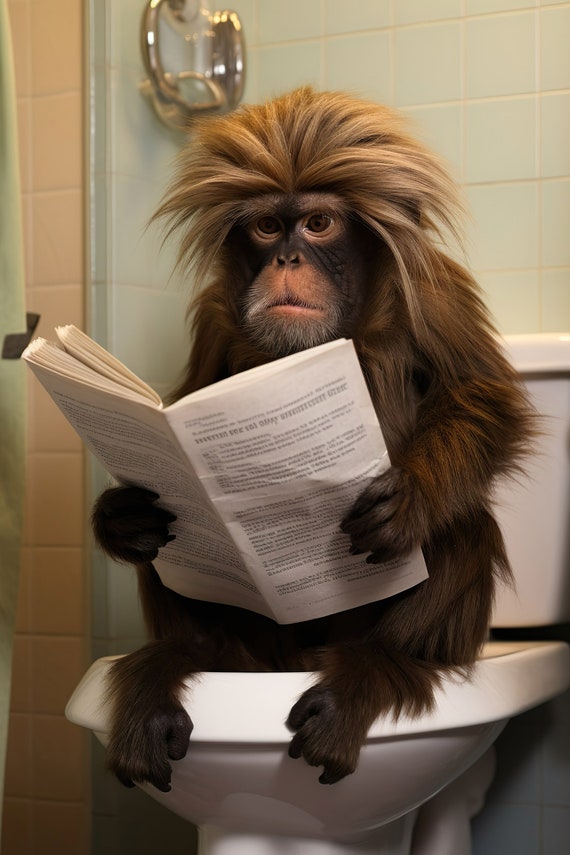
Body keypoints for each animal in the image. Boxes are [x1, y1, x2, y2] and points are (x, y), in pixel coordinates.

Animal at [92, 87, 536, 791]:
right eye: (268, 228)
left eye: (320, 224)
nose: (287, 259)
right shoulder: (218, 313)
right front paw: (119, 516)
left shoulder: (434, 287)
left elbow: (484, 401)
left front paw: (411, 498)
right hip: (263, 650)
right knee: (169, 546)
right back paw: (179, 660)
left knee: (462, 517)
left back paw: (375, 668)